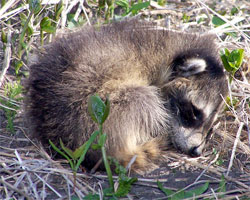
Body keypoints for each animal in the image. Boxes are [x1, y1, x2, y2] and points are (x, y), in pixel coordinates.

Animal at [24, 20, 229, 173]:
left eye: (211, 126)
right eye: (194, 113)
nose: (196, 151)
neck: (162, 54)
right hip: (99, 110)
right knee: (143, 98)